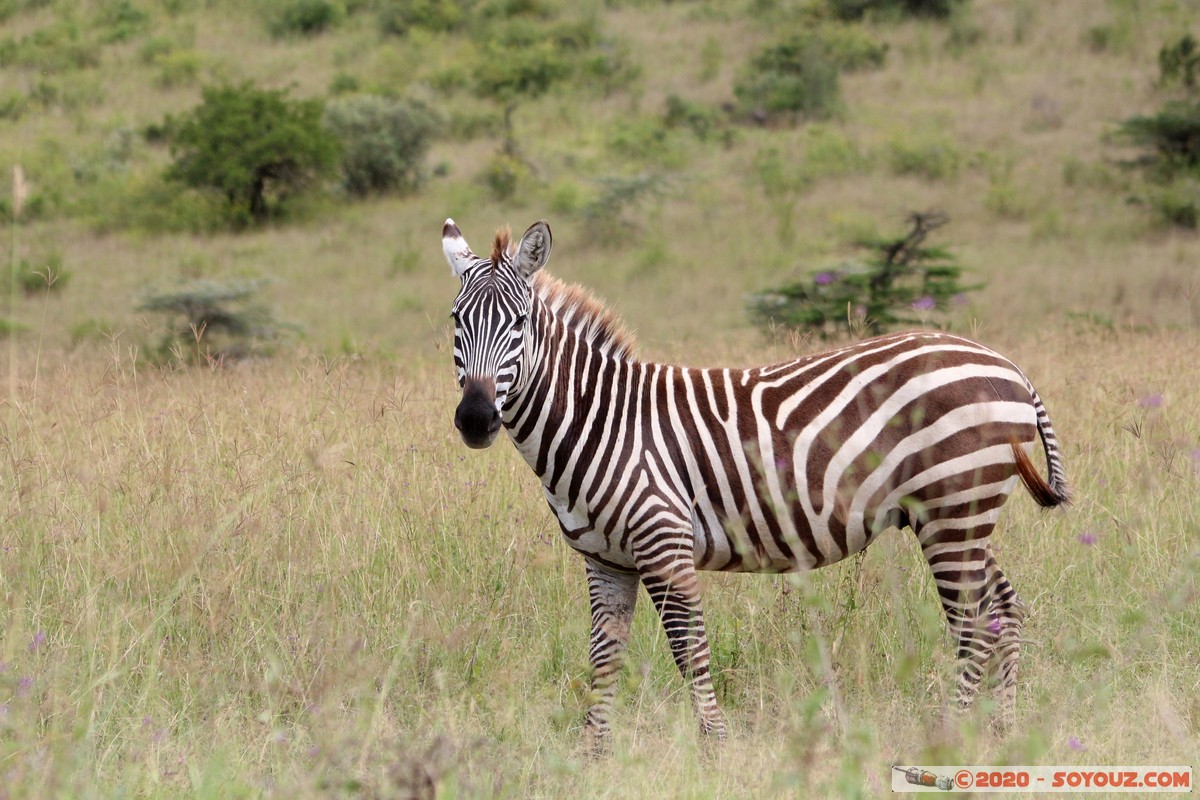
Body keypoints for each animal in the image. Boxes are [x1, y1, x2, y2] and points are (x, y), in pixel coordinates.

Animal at [441, 218, 1069, 750]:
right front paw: (593, 755)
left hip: (955, 508)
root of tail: (1007, 365)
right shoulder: (606, 561)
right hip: (958, 516)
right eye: (455, 322)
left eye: (520, 324)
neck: (601, 420)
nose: (475, 419)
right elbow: (604, 656)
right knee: (1004, 611)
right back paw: (1002, 735)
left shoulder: (664, 544)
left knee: (974, 626)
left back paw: (950, 737)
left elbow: (688, 650)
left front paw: (715, 749)